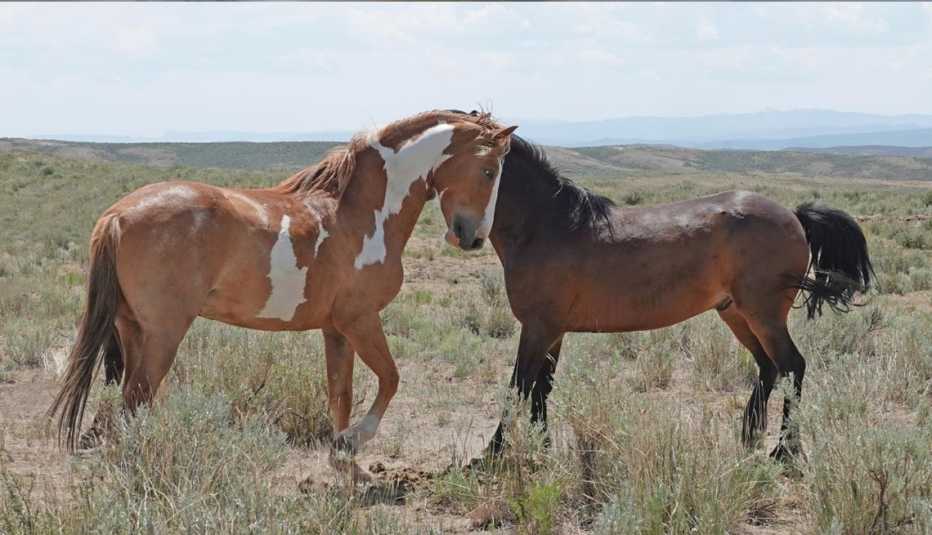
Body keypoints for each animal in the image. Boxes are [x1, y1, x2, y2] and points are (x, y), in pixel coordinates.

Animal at [49, 111, 518, 474]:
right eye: (489, 170)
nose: (473, 238)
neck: (360, 213)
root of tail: (116, 215)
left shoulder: (336, 329)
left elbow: (341, 395)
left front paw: (344, 463)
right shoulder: (361, 320)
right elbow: (390, 379)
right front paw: (352, 443)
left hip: (132, 329)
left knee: (130, 399)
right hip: (164, 333)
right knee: (137, 397)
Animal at [481, 134, 873, 462]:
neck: (549, 225)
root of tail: (793, 214)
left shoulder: (538, 328)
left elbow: (518, 386)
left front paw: (491, 454)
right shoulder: (552, 330)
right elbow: (540, 389)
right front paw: (541, 447)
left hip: (764, 315)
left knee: (792, 366)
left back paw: (784, 450)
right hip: (736, 313)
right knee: (769, 366)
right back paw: (750, 433)